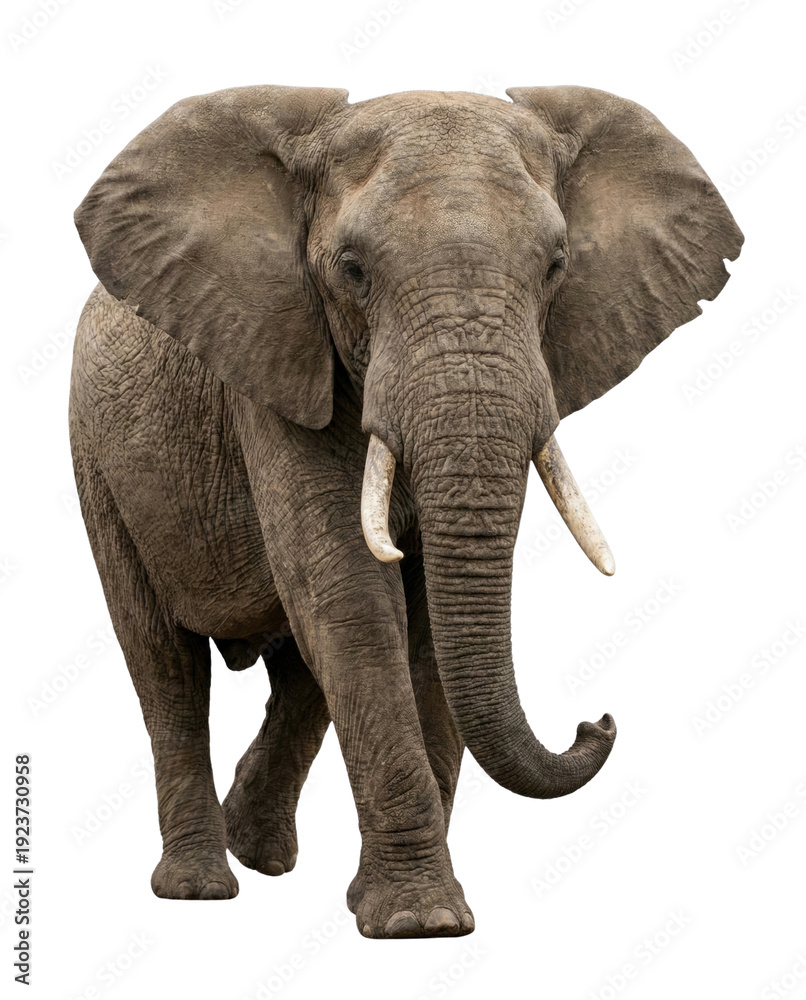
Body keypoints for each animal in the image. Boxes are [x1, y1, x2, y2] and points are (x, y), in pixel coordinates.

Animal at [69, 84, 743, 939]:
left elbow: (420, 625)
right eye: (352, 270)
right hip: (96, 457)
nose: (597, 724)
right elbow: (354, 595)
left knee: (299, 673)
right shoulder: (278, 365)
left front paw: (409, 911)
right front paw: (420, 923)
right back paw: (200, 888)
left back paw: (261, 855)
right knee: (165, 664)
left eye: (557, 265)